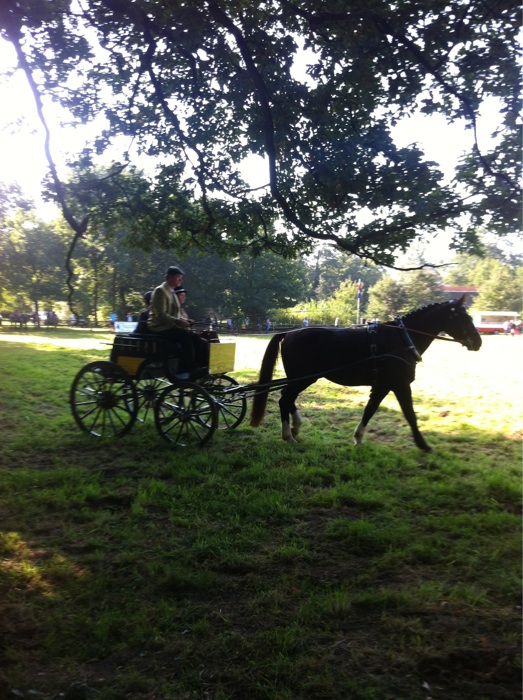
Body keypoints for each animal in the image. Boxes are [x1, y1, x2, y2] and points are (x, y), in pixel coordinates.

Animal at [250, 296, 484, 454]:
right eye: (463, 317)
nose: (478, 341)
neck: (402, 339)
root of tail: (288, 332)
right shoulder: (400, 384)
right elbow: (410, 414)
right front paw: (423, 445)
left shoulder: (382, 386)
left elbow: (370, 410)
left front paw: (358, 438)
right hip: (305, 377)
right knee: (285, 399)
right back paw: (288, 435)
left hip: (303, 378)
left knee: (288, 399)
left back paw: (295, 427)